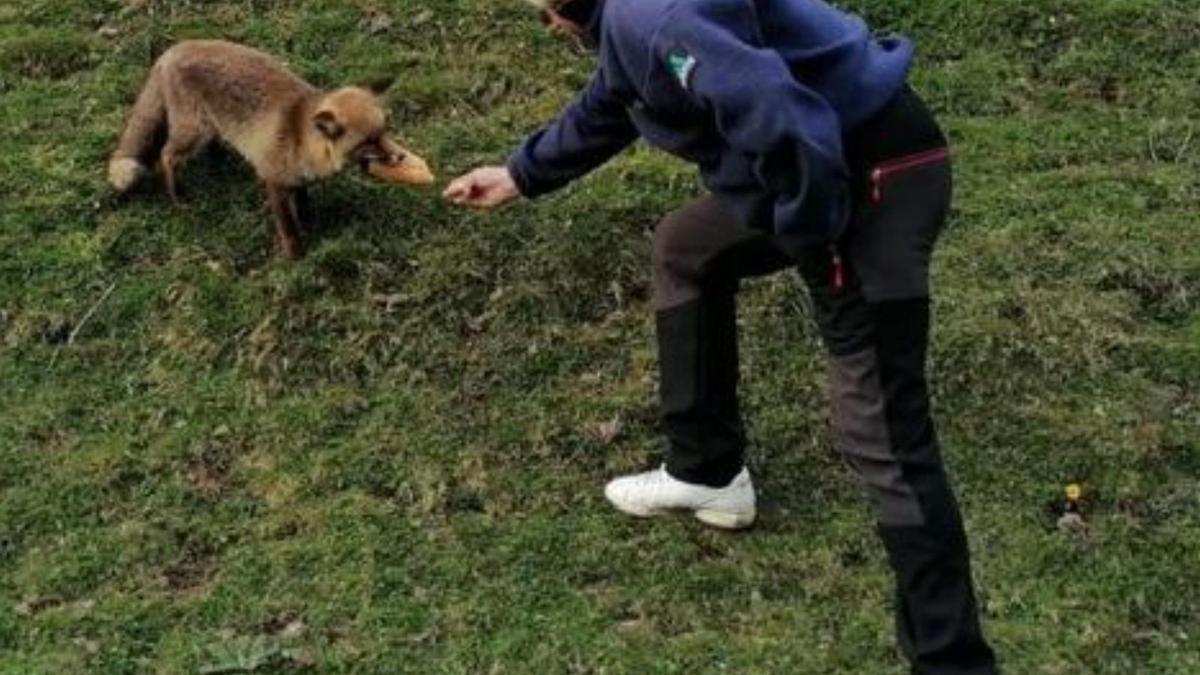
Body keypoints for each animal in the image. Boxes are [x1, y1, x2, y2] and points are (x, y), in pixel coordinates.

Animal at [106, 39, 436, 257]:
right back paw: (178, 197)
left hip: (209, 128)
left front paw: (310, 225)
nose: (399, 156)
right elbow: (287, 227)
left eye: (385, 131)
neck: (301, 137)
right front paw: (296, 257)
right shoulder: (273, 182)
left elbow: (304, 206)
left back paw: (219, 161)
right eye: (368, 142)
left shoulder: (299, 181)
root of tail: (174, 48)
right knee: (165, 156)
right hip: (192, 133)